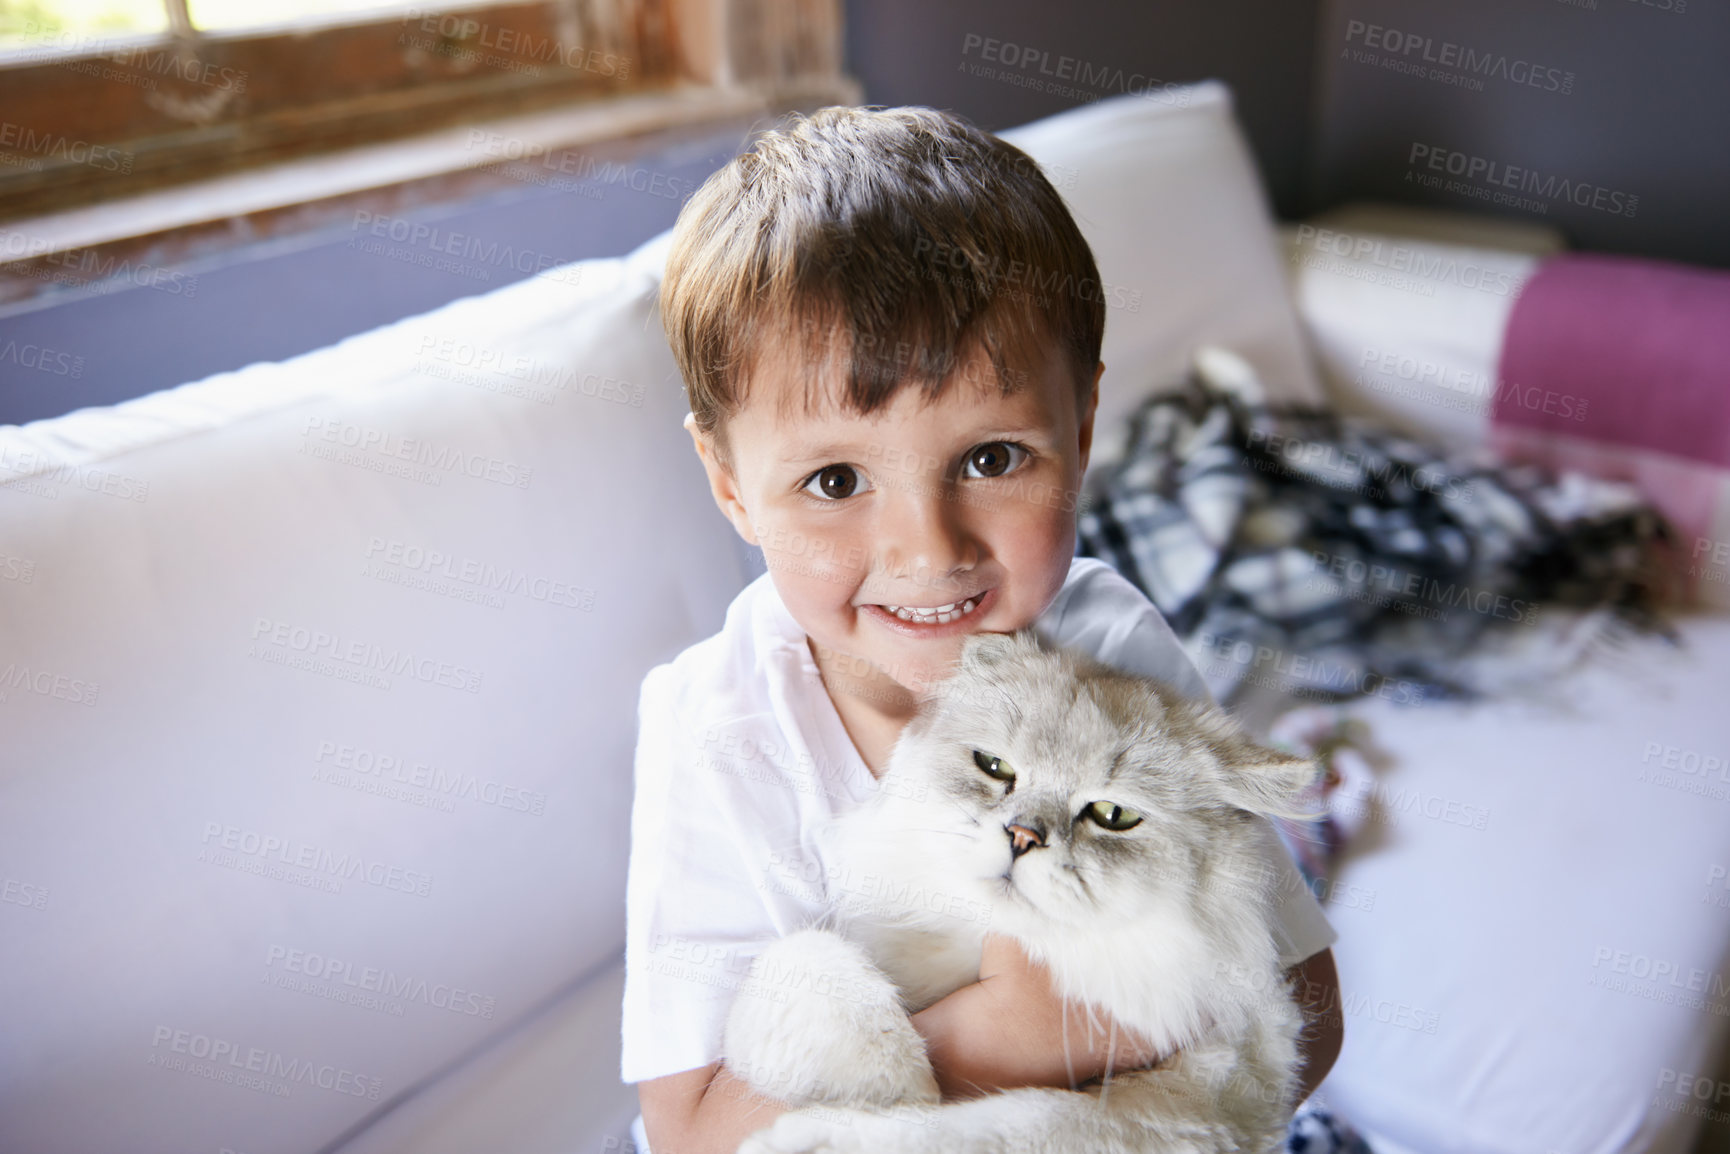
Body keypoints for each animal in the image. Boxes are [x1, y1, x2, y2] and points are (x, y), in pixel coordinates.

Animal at [723, 633, 1314, 1154]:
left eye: (1114, 816)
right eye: (995, 767)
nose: (1023, 837)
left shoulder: (1214, 1096)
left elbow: (1016, 1125)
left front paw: (837, 1130)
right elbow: (810, 961)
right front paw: (894, 1086)